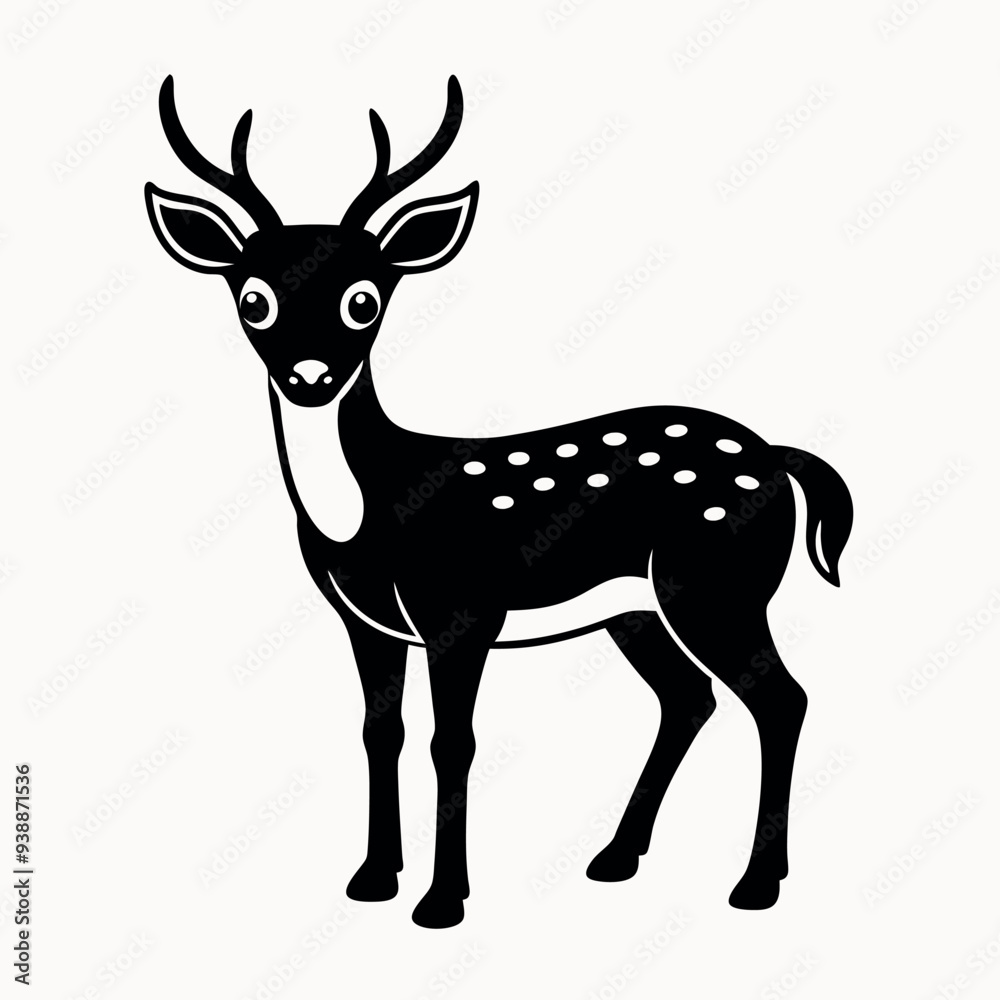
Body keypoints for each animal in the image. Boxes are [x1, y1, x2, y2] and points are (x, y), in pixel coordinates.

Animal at [145, 75, 853, 928]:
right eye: (253, 299)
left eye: (363, 300)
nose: (310, 376)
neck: (371, 511)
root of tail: (778, 457)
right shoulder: (365, 618)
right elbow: (380, 731)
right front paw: (373, 878)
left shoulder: (461, 608)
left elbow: (454, 741)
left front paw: (441, 900)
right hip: (639, 609)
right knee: (690, 699)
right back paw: (617, 858)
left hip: (717, 584)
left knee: (781, 699)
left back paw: (754, 885)